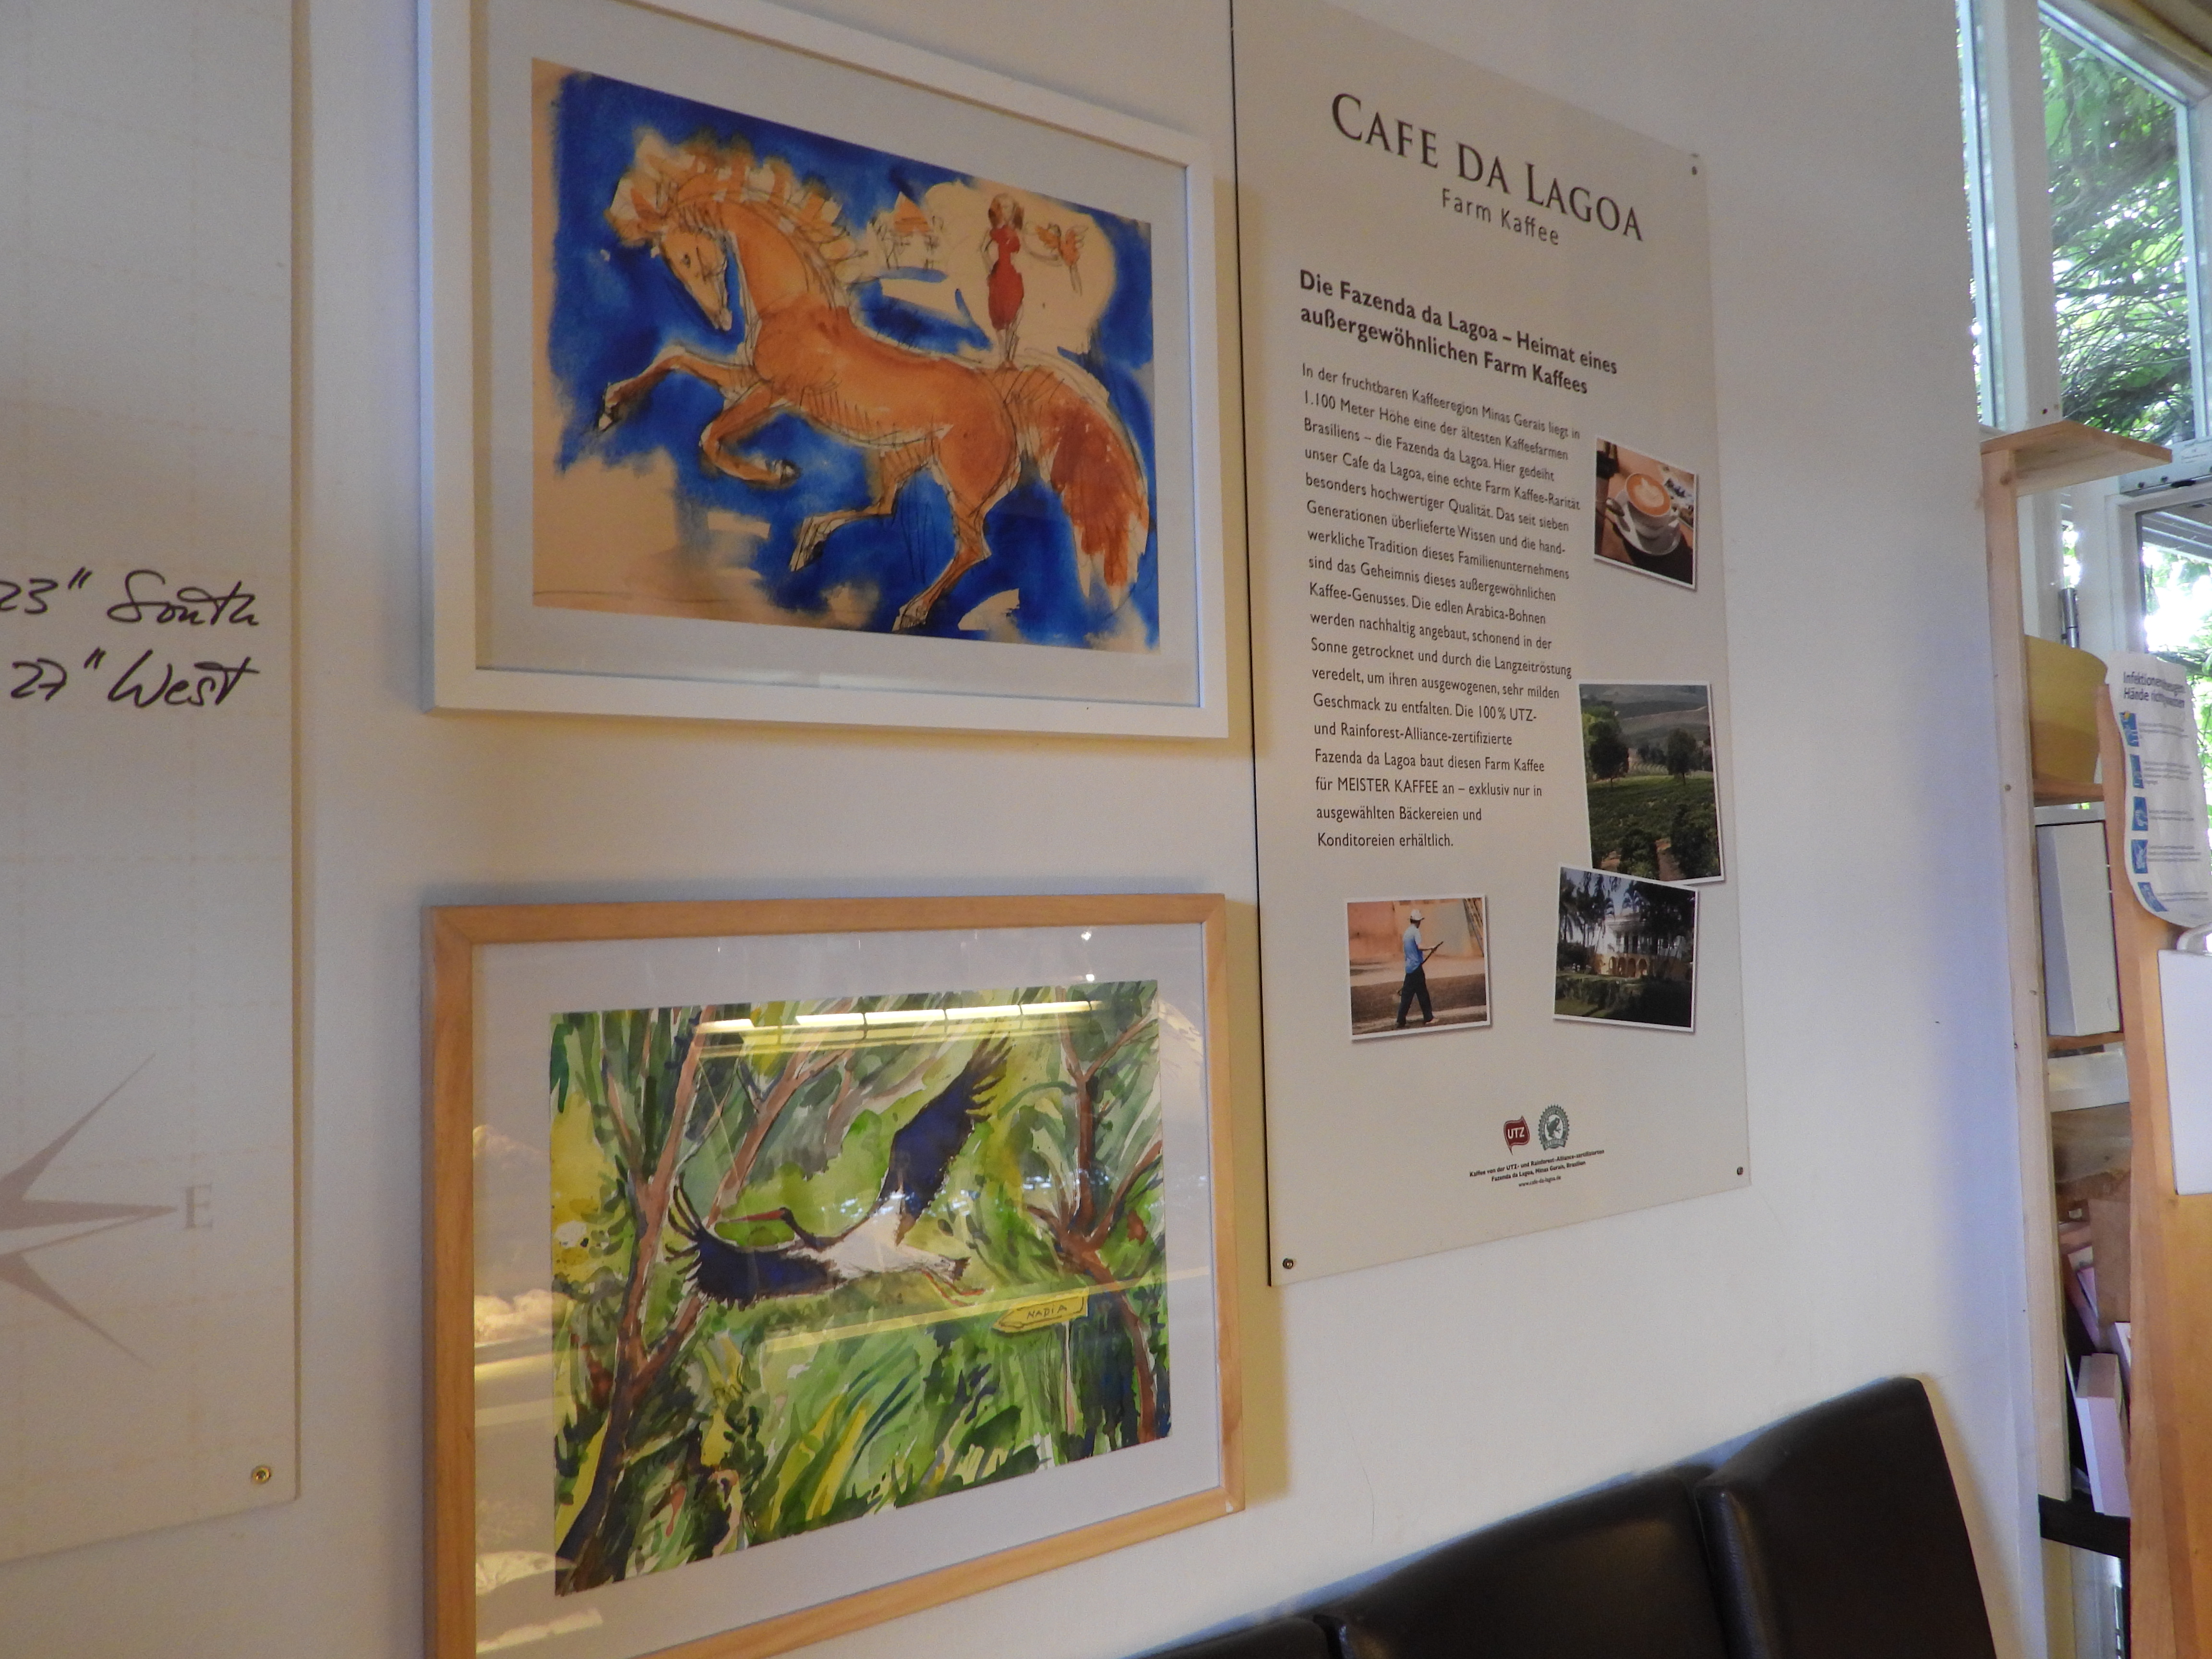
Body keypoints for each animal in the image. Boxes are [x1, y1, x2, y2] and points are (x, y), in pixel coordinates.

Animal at [594, 135, 1152, 635]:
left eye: (687, 255)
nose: (717, 317)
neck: (795, 306)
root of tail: (1000, 388)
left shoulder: (774, 393)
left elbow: (710, 436)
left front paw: (777, 472)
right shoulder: (747, 378)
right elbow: (675, 357)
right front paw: (610, 408)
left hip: (963, 486)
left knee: (973, 547)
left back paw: (910, 611)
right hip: (904, 456)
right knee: (886, 505)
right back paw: (811, 540)